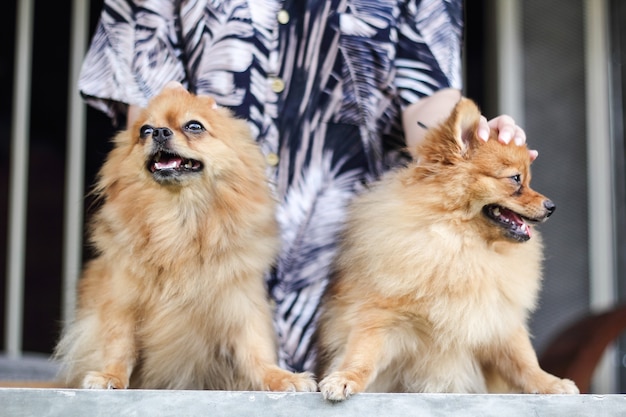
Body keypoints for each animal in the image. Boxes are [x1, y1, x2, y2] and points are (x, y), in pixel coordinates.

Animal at [52, 81, 316, 390]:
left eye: (194, 126)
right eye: (145, 131)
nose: (160, 132)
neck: (178, 218)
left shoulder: (240, 302)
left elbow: (256, 349)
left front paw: (280, 377)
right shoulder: (122, 299)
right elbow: (119, 344)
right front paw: (111, 376)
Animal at [314, 96, 576, 398]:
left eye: (528, 180)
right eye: (515, 179)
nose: (552, 206)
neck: (461, 245)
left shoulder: (498, 318)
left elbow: (523, 359)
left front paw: (549, 383)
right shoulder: (380, 314)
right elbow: (362, 353)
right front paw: (346, 377)